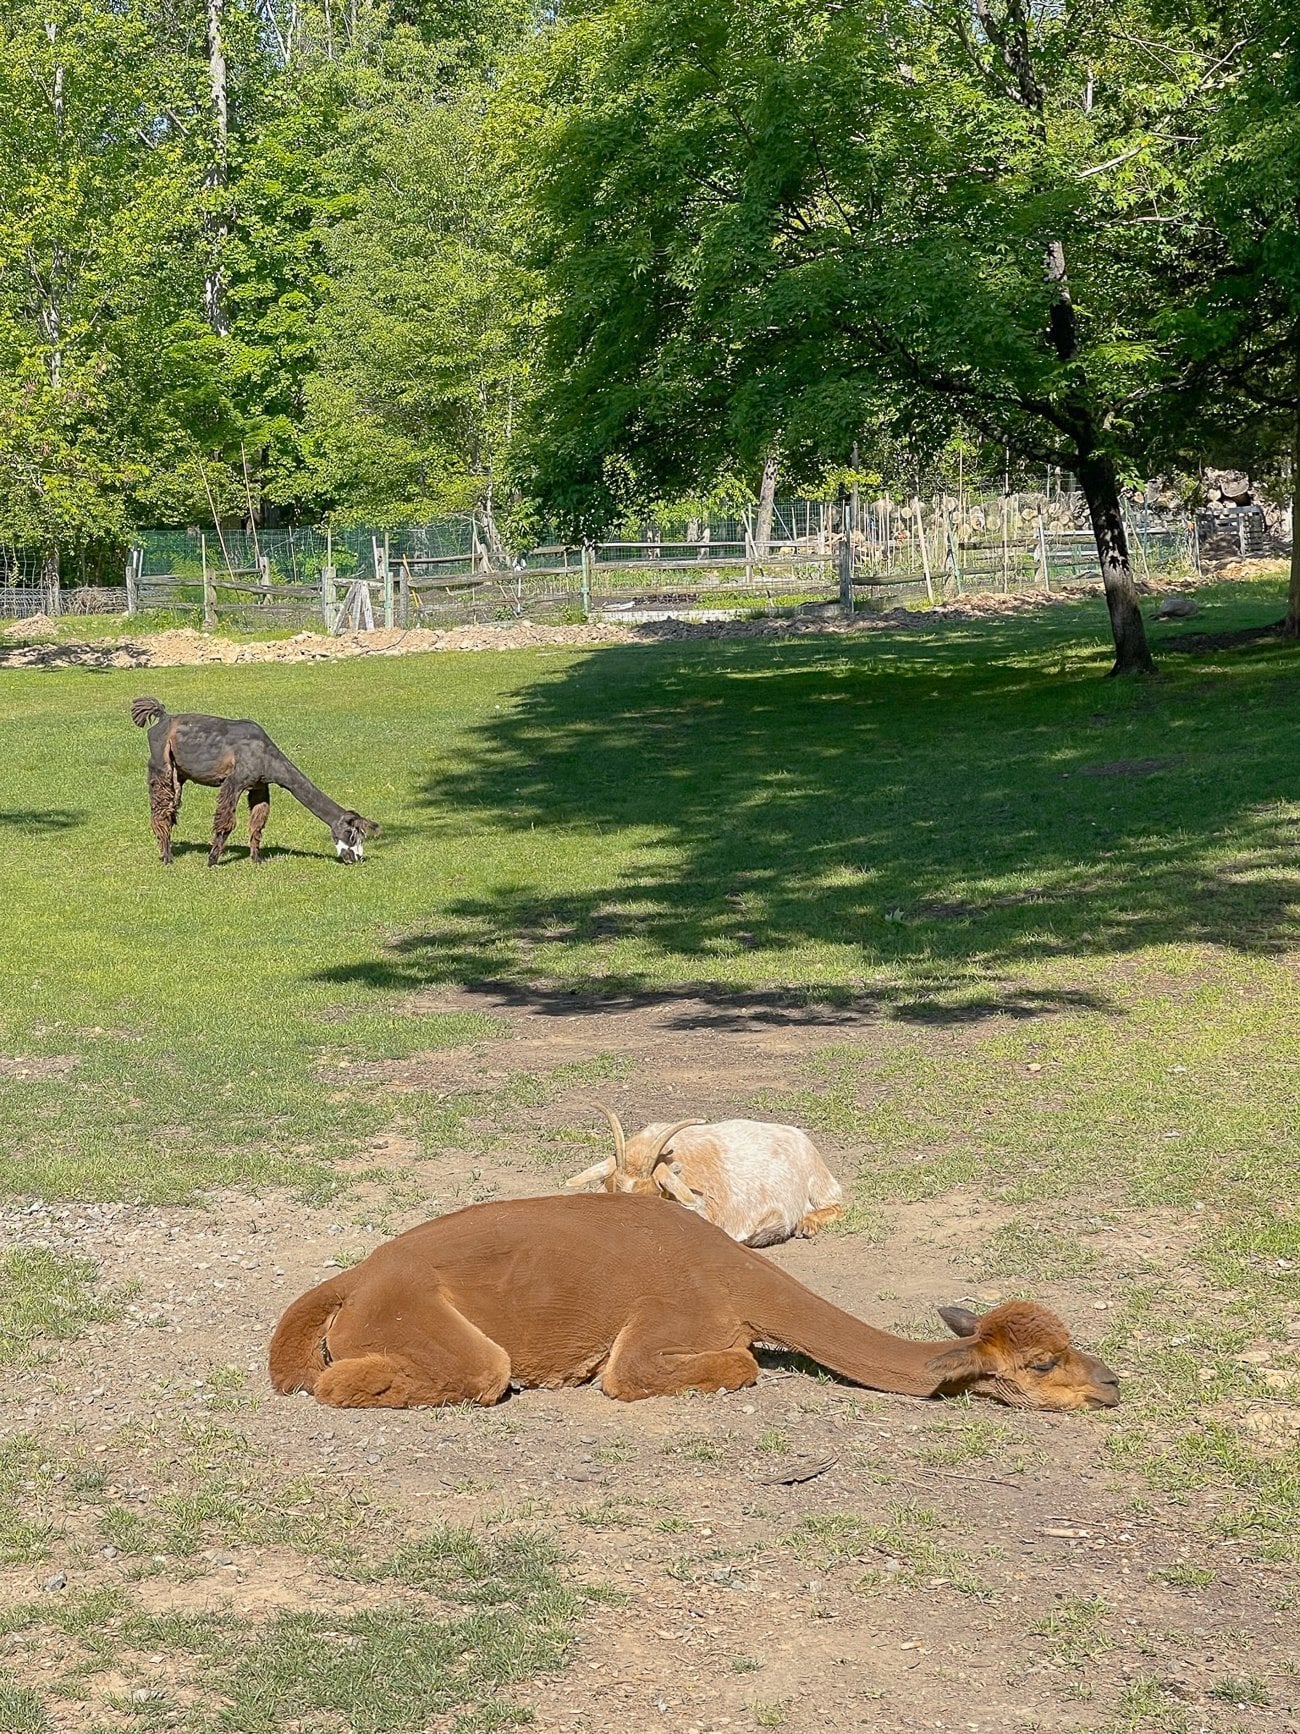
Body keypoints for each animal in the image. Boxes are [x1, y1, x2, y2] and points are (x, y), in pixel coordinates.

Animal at [269, 1193, 1121, 1412]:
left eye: (1075, 1344)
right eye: (1044, 1363)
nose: (1112, 1384)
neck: (739, 1280)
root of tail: (360, 1275)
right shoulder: (663, 1327)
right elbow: (735, 1365)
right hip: (432, 1325)